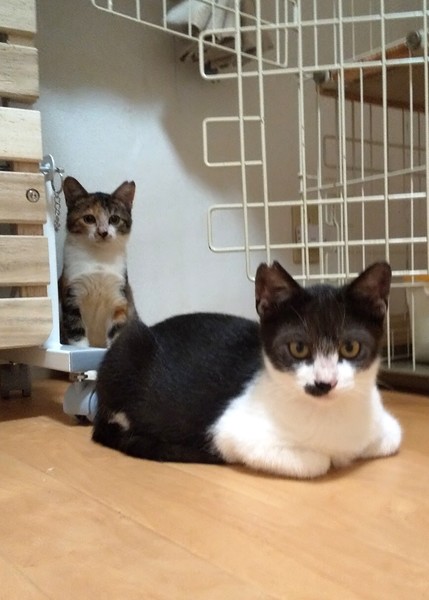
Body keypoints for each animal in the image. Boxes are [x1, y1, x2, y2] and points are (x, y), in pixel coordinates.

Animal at [59, 176, 136, 348]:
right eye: (89, 219)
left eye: (114, 219)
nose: (103, 232)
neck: (98, 259)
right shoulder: (71, 291)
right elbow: (75, 327)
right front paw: (81, 348)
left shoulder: (119, 296)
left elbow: (118, 327)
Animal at [92, 261, 402, 479]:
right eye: (298, 348)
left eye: (350, 347)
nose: (324, 383)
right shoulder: (231, 433)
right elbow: (317, 462)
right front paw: (331, 458)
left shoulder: (387, 428)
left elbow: (392, 437)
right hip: (128, 342)